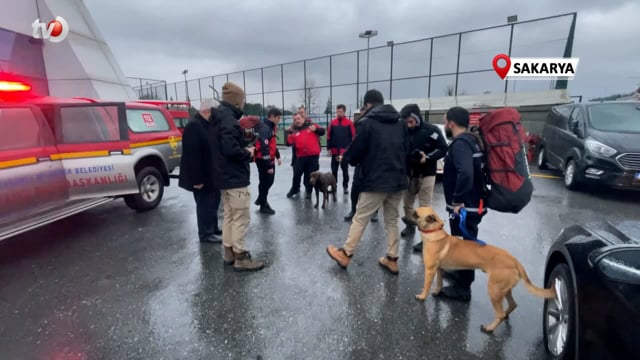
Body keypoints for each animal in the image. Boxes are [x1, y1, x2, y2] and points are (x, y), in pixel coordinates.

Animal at [410, 207, 556, 334]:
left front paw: (422, 296)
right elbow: (439, 283)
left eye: (415, 214)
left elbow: (426, 286)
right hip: (504, 289)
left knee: (500, 314)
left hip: (494, 290)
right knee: (512, 305)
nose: (405, 217)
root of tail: (514, 260)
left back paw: (489, 328)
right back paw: (506, 315)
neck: (434, 232)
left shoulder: (430, 270)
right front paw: (437, 292)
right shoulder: (439, 269)